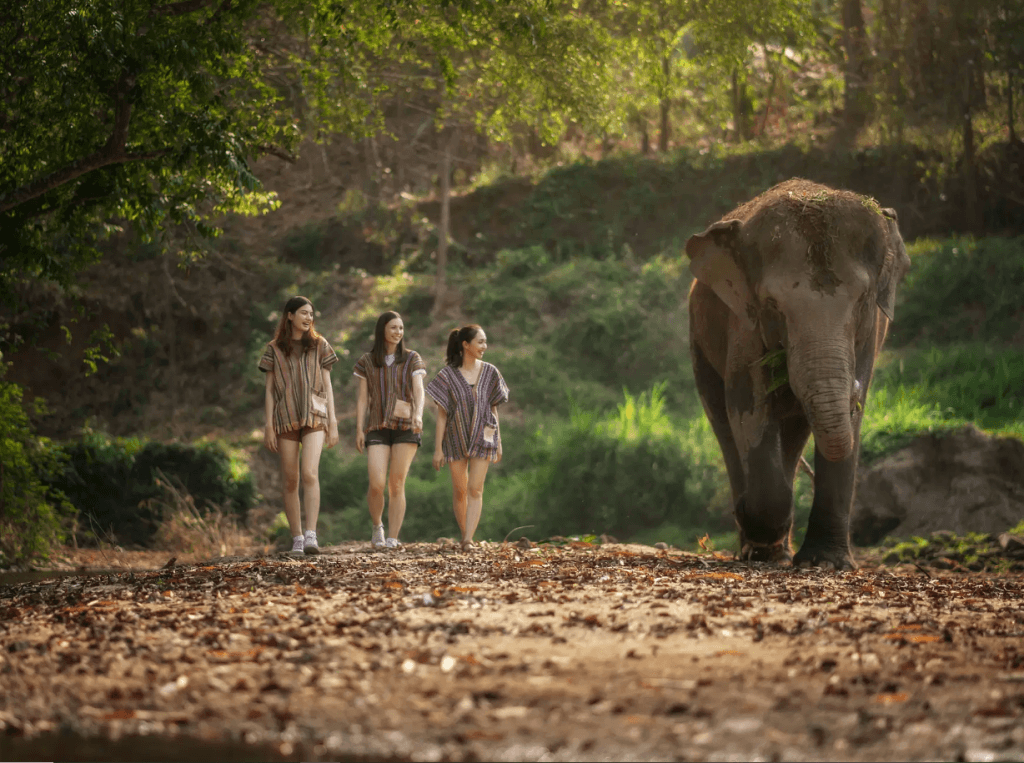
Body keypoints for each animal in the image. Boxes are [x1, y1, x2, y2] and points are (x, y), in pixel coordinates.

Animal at [684, 178, 911, 569]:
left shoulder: (872, 332)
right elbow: (747, 405)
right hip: (698, 340)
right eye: (773, 305)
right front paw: (757, 529)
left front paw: (827, 564)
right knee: (722, 420)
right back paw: (759, 544)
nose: (852, 390)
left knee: (793, 431)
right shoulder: (744, 324)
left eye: (863, 299)